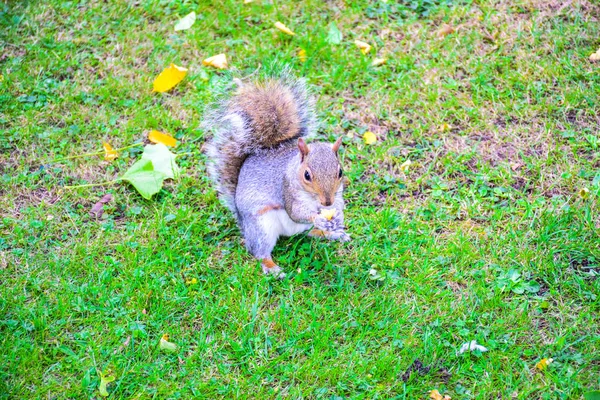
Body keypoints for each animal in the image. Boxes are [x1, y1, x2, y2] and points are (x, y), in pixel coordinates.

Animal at [204, 75, 350, 278]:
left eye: (340, 172)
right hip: (261, 227)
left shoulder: (338, 194)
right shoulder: (288, 191)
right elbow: (296, 212)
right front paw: (318, 218)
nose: (327, 202)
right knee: (259, 251)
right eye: (307, 175)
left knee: (307, 233)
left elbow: (340, 204)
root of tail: (243, 223)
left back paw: (332, 234)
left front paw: (339, 218)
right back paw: (272, 267)